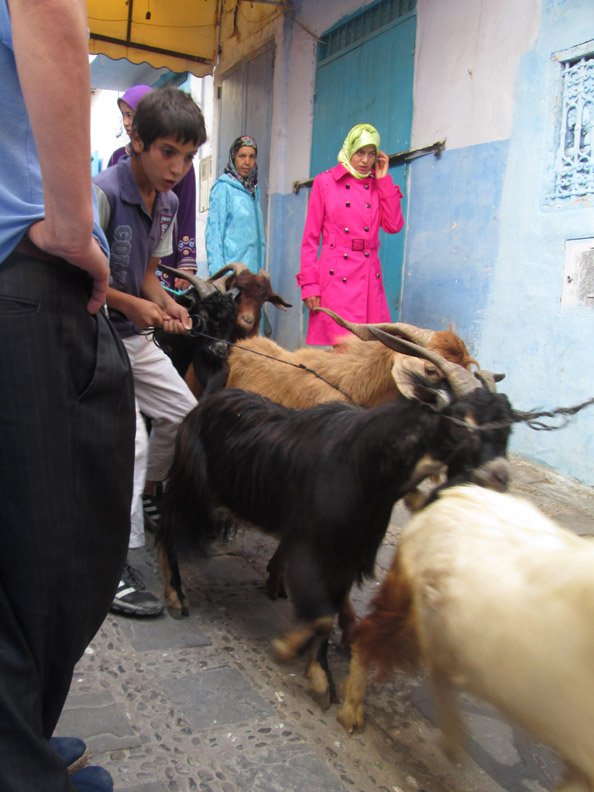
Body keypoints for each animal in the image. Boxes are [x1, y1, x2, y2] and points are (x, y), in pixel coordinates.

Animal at [158, 334, 512, 704]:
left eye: (509, 427)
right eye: (460, 420)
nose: (499, 476)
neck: (367, 461)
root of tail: (209, 398)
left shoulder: (346, 551)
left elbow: (327, 611)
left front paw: (318, 670)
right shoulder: (313, 546)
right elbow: (321, 615)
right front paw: (293, 653)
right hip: (191, 487)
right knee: (166, 526)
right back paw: (176, 596)